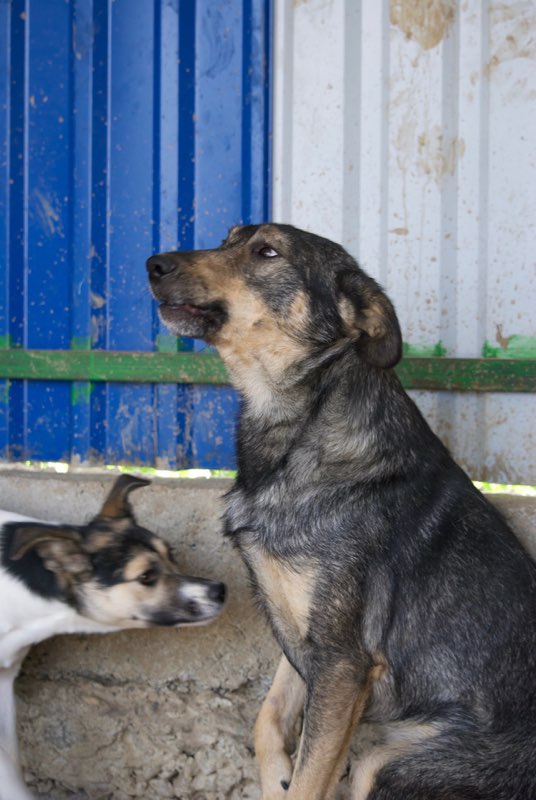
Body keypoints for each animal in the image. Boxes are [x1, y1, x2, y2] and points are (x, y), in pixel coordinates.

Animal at [148, 223, 536, 800]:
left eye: (267, 252)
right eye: (228, 238)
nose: (152, 263)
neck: (301, 429)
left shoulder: (343, 663)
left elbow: (311, 777)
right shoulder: (307, 640)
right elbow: (268, 719)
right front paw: (276, 778)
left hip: (388, 762)